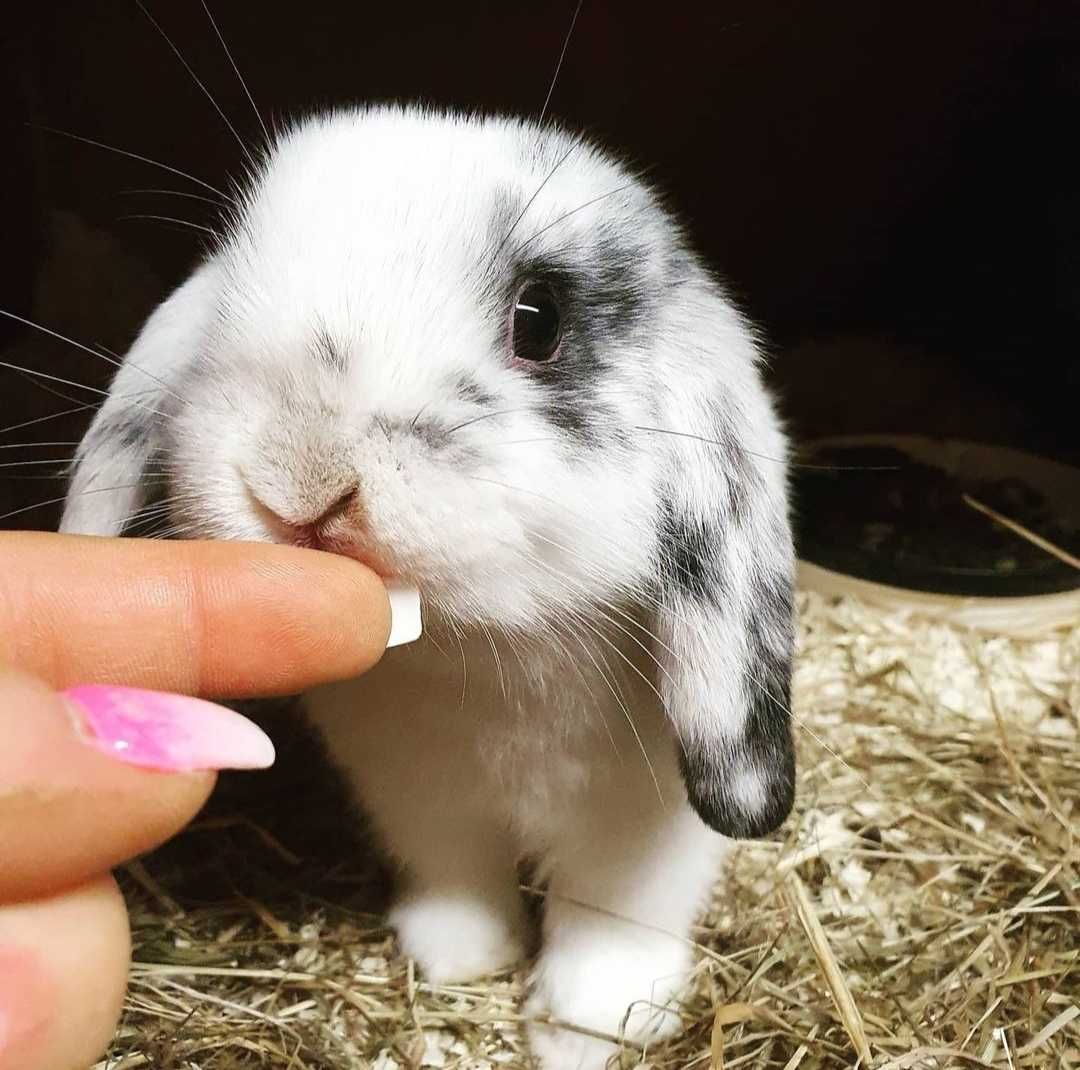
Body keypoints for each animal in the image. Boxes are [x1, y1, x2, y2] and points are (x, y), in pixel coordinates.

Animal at [61, 102, 803, 1070]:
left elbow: (613, 914)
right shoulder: (417, 797)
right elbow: (457, 874)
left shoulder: (644, 824)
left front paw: (589, 1025)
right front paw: (460, 959)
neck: (479, 658)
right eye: (224, 302)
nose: (301, 475)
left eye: (540, 318)